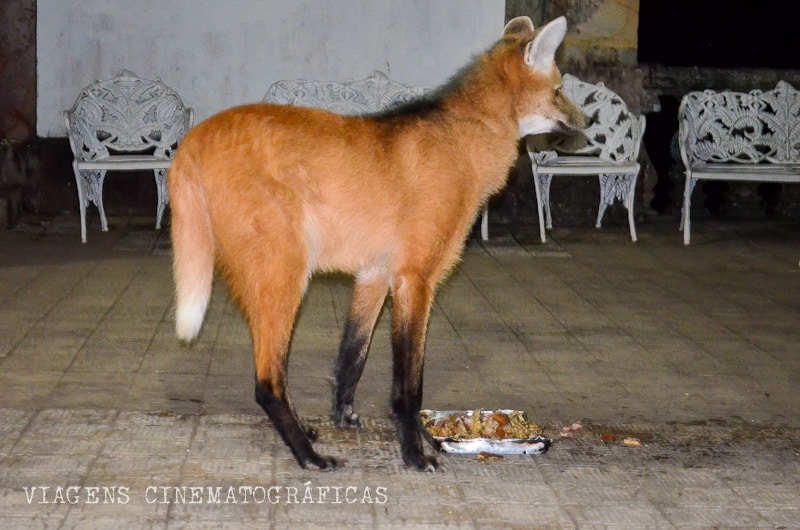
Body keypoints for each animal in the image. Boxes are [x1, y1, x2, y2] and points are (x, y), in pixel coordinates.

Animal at [169, 15, 584, 470]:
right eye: (559, 90)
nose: (586, 122)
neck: (463, 141)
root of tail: (193, 139)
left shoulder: (376, 274)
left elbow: (352, 355)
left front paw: (343, 415)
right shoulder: (415, 279)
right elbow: (409, 386)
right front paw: (415, 456)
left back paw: (307, 435)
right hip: (287, 276)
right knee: (267, 383)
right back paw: (310, 456)